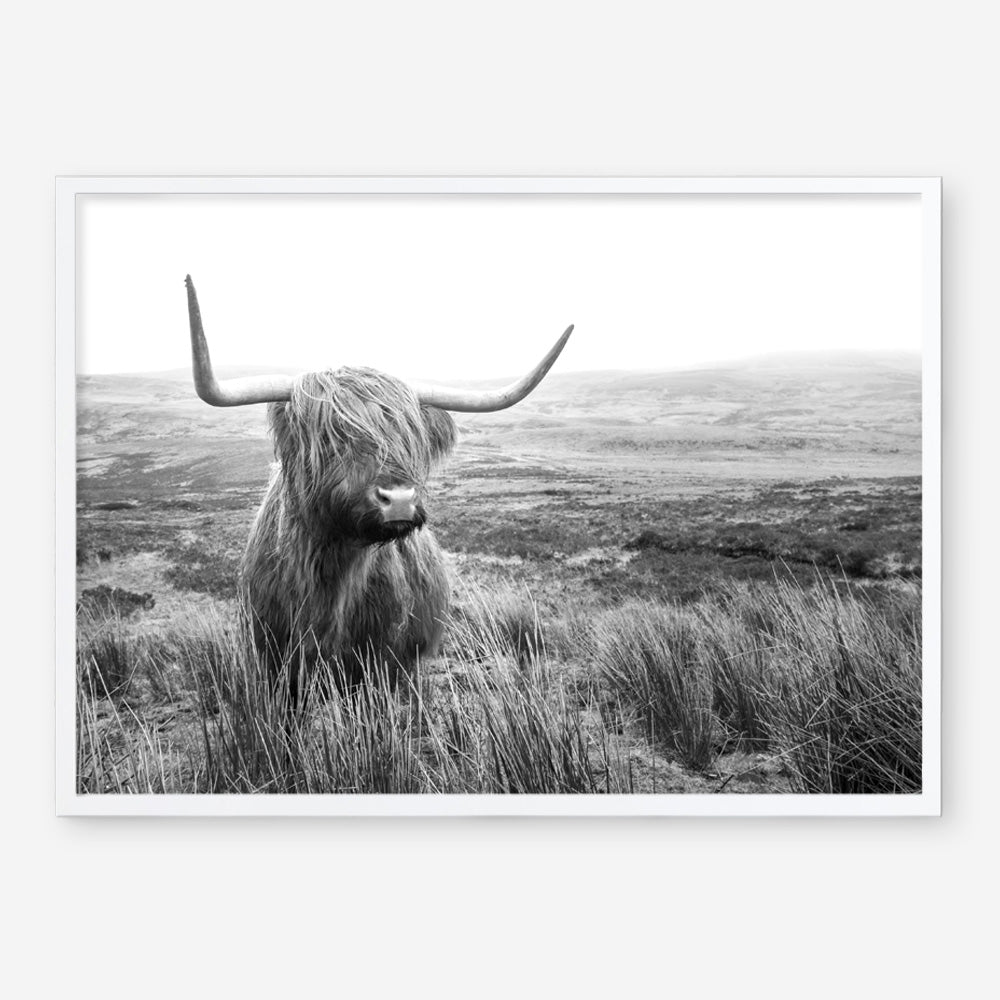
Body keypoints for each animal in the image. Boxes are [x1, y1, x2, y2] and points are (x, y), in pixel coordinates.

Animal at [184, 276, 572, 692]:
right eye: (331, 436)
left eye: (410, 437)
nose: (399, 499)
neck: (333, 577)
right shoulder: (274, 659)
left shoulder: (385, 663)